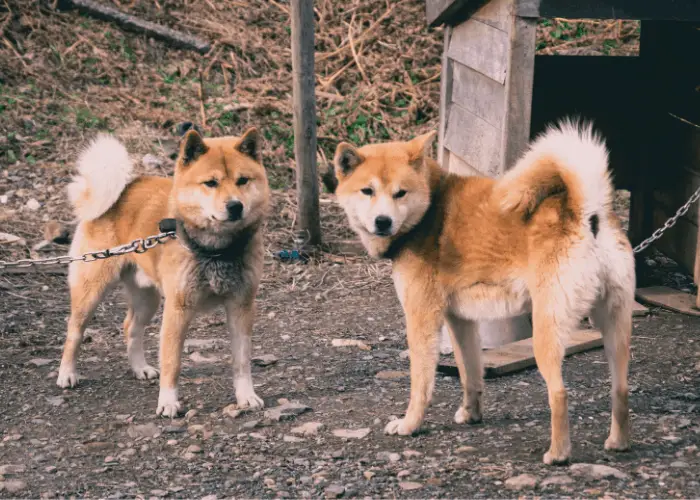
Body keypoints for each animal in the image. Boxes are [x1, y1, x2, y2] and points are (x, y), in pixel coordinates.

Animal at [56, 127, 270, 416]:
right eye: (211, 183)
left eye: (243, 180)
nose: (235, 206)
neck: (215, 250)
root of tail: (124, 188)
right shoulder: (177, 310)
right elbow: (172, 362)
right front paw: (168, 402)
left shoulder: (241, 307)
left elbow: (242, 361)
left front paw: (246, 396)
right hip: (91, 292)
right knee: (74, 331)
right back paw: (67, 374)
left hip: (148, 299)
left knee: (130, 328)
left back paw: (140, 368)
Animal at [328, 121, 636, 464]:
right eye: (367, 191)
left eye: (400, 193)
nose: (383, 221)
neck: (430, 208)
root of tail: (588, 214)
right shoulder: (461, 320)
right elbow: (470, 372)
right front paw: (471, 414)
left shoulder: (422, 319)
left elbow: (421, 385)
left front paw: (409, 424)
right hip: (614, 327)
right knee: (620, 389)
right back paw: (618, 443)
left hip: (546, 331)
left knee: (559, 393)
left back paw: (557, 453)